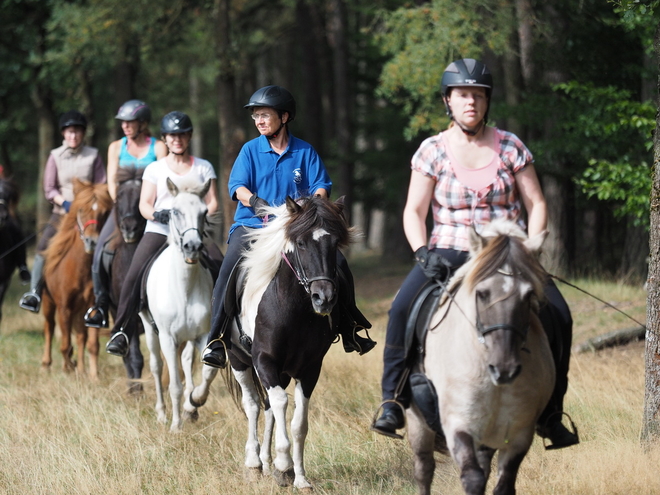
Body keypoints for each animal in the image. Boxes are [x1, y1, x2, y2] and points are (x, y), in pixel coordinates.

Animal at [41, 182, 111, 380]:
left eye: (105, 212)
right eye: (81, 210)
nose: (92, 241)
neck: (80, 269)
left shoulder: (93, 308)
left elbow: (92, 344)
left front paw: (93, 376)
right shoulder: (64, 307)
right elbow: (65, 344)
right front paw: (67, 369)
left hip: (80, 310)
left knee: (80, 336)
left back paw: (80, 369)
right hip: (48, 302)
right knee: (49, 328)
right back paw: (46, 365)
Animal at [139, 179, 219, 434]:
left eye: (204, 212)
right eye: (175, 211)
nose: (192, 246)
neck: (184, 288)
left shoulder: (203, 335)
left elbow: (208, 371)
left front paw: (195, 402)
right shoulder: (167, 337)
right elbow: (173, 384)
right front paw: (175, 426)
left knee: (185, 361)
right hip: (150, 329)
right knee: (156, 367)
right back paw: (162, 414)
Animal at [211, 196, 356, 490]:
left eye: (335, 243)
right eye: (300, 243)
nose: (323, 298)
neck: (294, 309)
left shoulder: (309, 368)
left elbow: (299, 422)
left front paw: (299, 477)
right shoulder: (264, 361)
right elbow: (279, 404)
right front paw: (284, 465)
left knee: (266, 408)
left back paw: (266, 464)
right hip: (239, 360)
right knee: (254, 405)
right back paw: (254, 463)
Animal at [408, 221, 556, 495]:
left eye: (528, 295)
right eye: (482, 293)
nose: (504, 369)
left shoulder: (520, 433)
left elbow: (503, 485)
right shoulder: (459, 423)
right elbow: (472, 478)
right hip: (418, 422)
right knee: (424, 470)